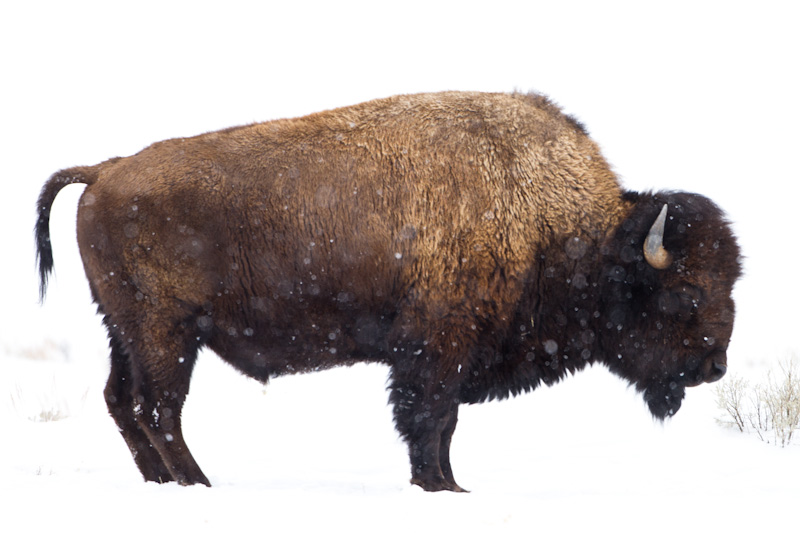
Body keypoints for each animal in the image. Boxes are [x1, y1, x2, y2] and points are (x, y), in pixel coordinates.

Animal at [36, 90, 736, 490]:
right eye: (685, 293)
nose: (714, 366)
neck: (555, 222)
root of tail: (105, 171)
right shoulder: (436, 348)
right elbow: (431, 418)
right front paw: (441, 488)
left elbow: (441, 425)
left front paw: (448, 485)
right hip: (167, 332)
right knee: (160, 409)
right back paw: (199, 484)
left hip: (125, 330)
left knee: (124, 402)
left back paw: (166, 485)